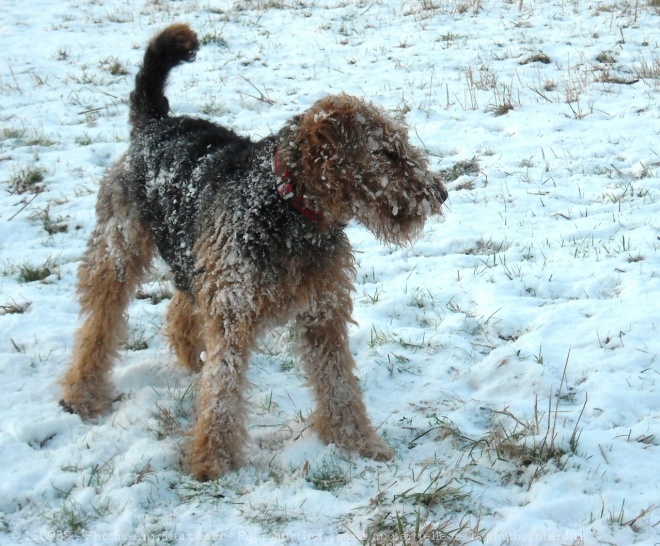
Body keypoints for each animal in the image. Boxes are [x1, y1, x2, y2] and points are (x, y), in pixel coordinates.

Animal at [60, 23, 448, 478]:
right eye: (388, 152)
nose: (440, 193)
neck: (288, 204)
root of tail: (154, 122)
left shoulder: (323, 313)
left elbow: (339, 386)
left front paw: (359, 443)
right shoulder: (235, 313)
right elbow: (223, 393)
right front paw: (212, 460)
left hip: (196, 260)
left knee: (179, 308)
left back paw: (191, 358)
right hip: (118, 251)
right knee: (98, 325)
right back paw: (82, 394)